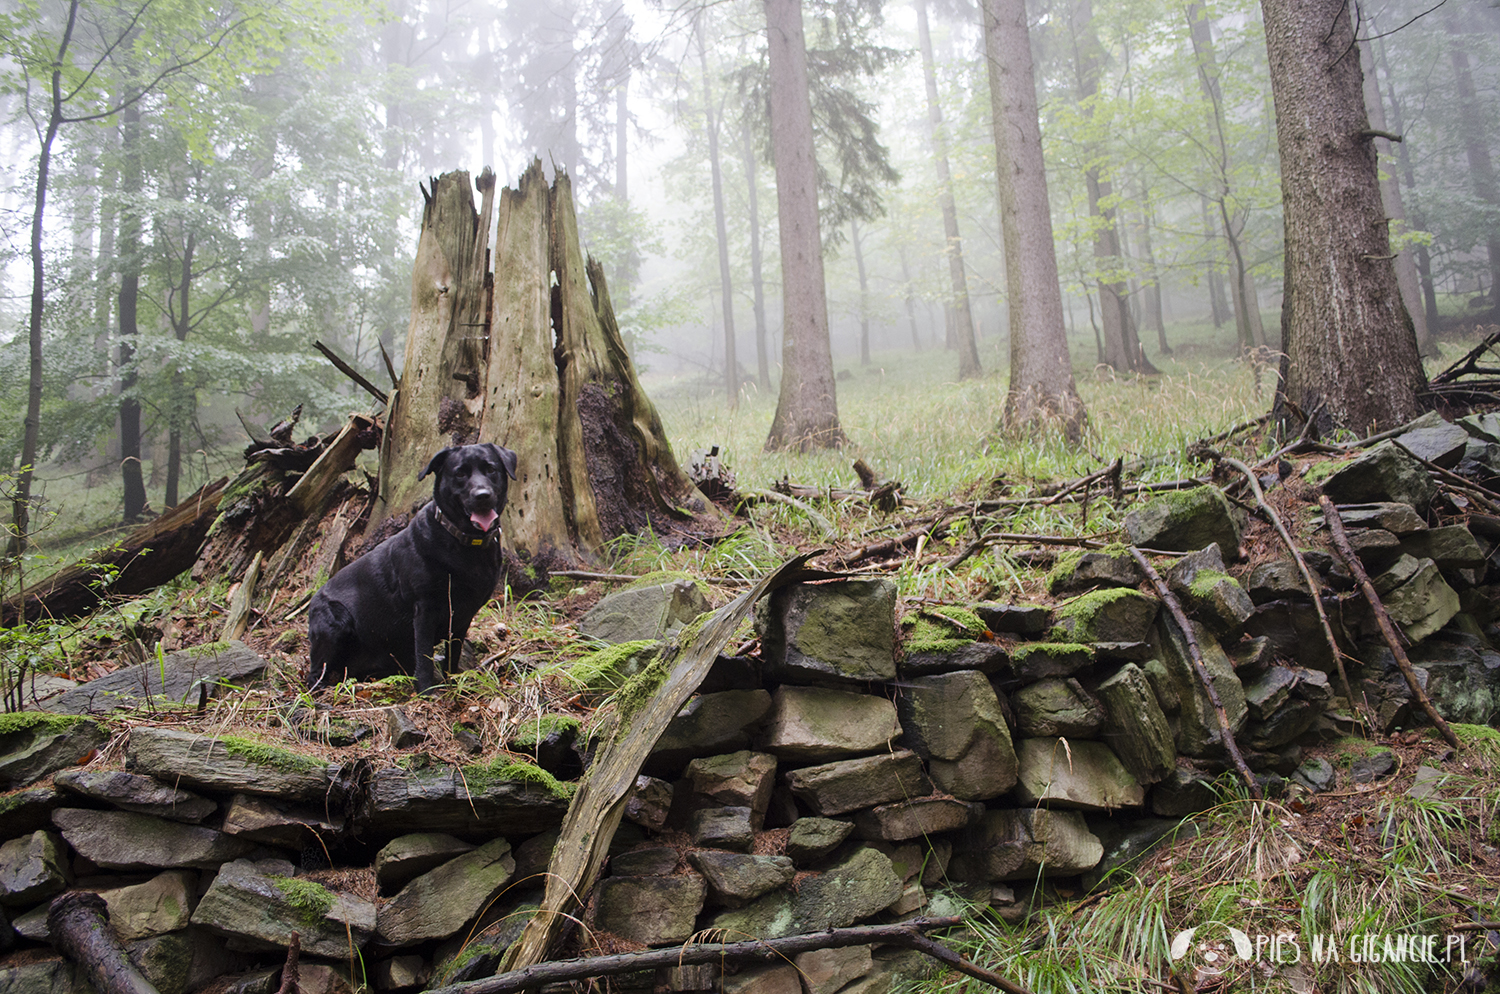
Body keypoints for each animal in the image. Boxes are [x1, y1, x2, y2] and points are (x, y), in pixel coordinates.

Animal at [307, 443, 519, 692]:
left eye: (491, 469)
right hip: (335, 624)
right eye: (460, 474)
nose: (482, 495)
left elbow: (453, 652)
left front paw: (452, 681)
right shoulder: (425, 609)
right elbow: (424, 656)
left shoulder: (462, 617)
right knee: (315, 675)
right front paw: (427, 691)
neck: (464, 543)